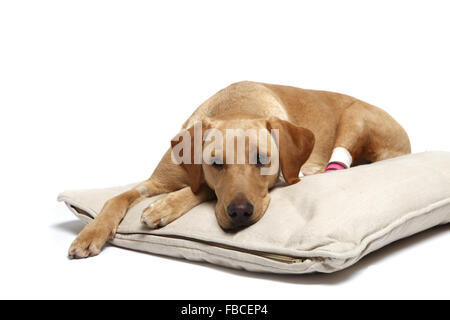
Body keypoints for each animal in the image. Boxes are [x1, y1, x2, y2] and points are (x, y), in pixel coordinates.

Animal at [67, 81, 412, 258]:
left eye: (262, 160)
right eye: (216, 163)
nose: (241, 213)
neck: (238, 106)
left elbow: (203, 189)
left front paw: (164, 207)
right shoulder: (155, 181)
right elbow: (116, 198)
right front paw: (92, 233)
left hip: (356, 116)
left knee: (338, 163)